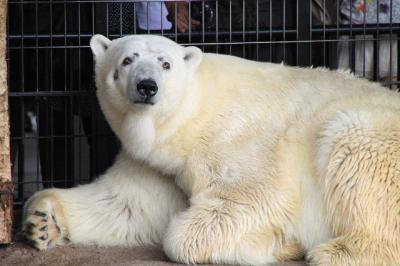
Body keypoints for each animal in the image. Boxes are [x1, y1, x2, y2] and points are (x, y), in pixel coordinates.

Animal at [22, 34, 400, 264]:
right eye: (127, 59)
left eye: (166, 63)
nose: (147, 87)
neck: (192, 114)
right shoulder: (157, 166)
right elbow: (126, 205)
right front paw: (41, 219)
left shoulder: (232, 137)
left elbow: (252, 199)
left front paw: (277, 244)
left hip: (365, 134)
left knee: (353, 151)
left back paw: (340, 251)